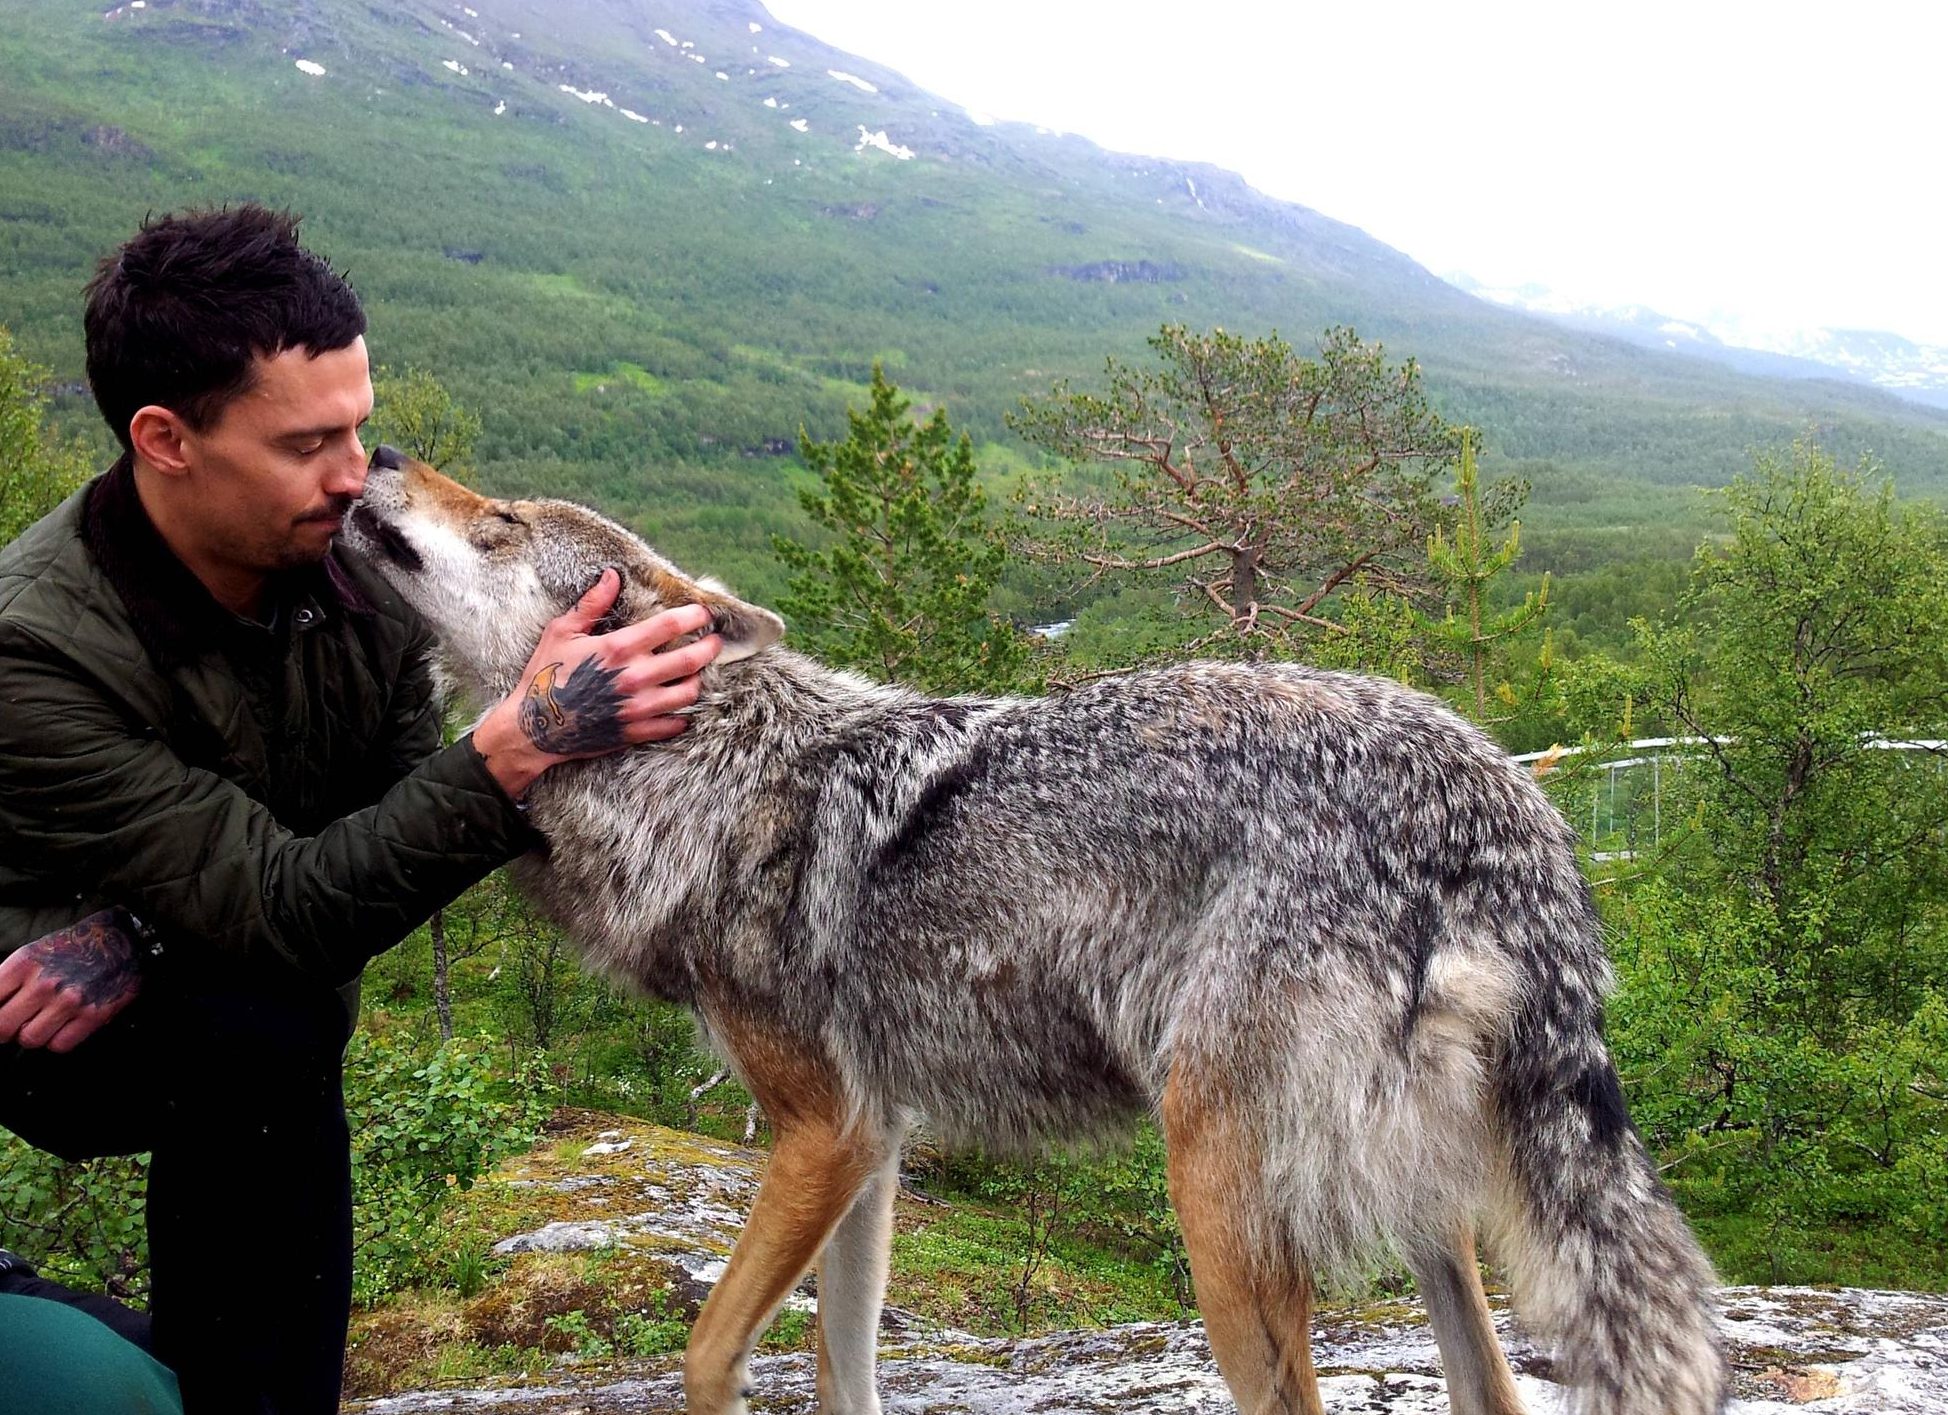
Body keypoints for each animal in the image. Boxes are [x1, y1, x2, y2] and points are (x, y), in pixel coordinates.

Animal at [343, 449, 1726, 1415]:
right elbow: (845, 1370)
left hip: (1217, 1203)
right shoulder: (872, 1147)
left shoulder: (822, 1127)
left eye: (501, 520)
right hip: (1420, 1205)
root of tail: (1500, 799)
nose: (380, 452)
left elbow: (704, 1352)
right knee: (1495, 1384)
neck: (710, 774)